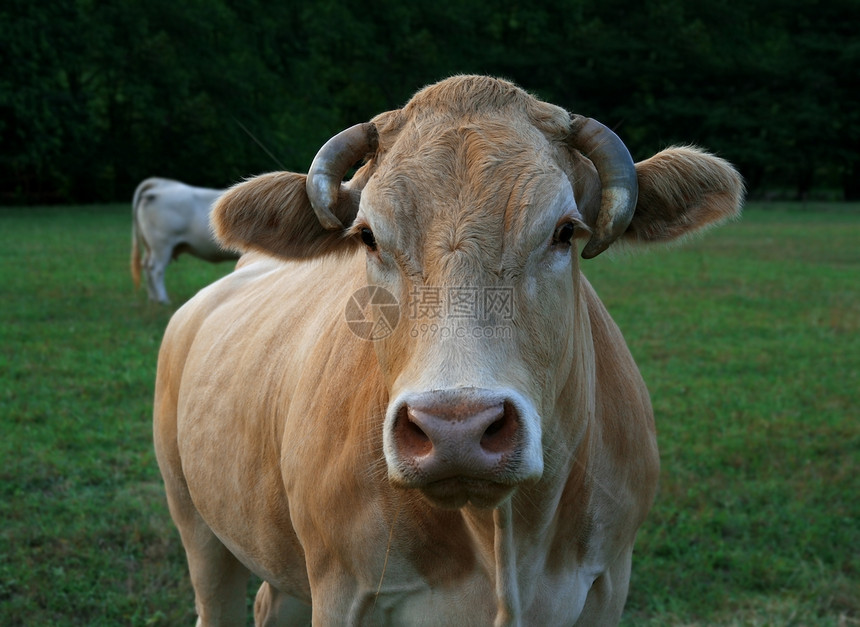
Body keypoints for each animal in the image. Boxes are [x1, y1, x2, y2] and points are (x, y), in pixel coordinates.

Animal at [151, 75, 744, 627]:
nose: (455, 429)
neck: (503, 542)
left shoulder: (608, 580)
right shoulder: (342, 590)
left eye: (564, 231)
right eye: (367, 236)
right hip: (196, 524)